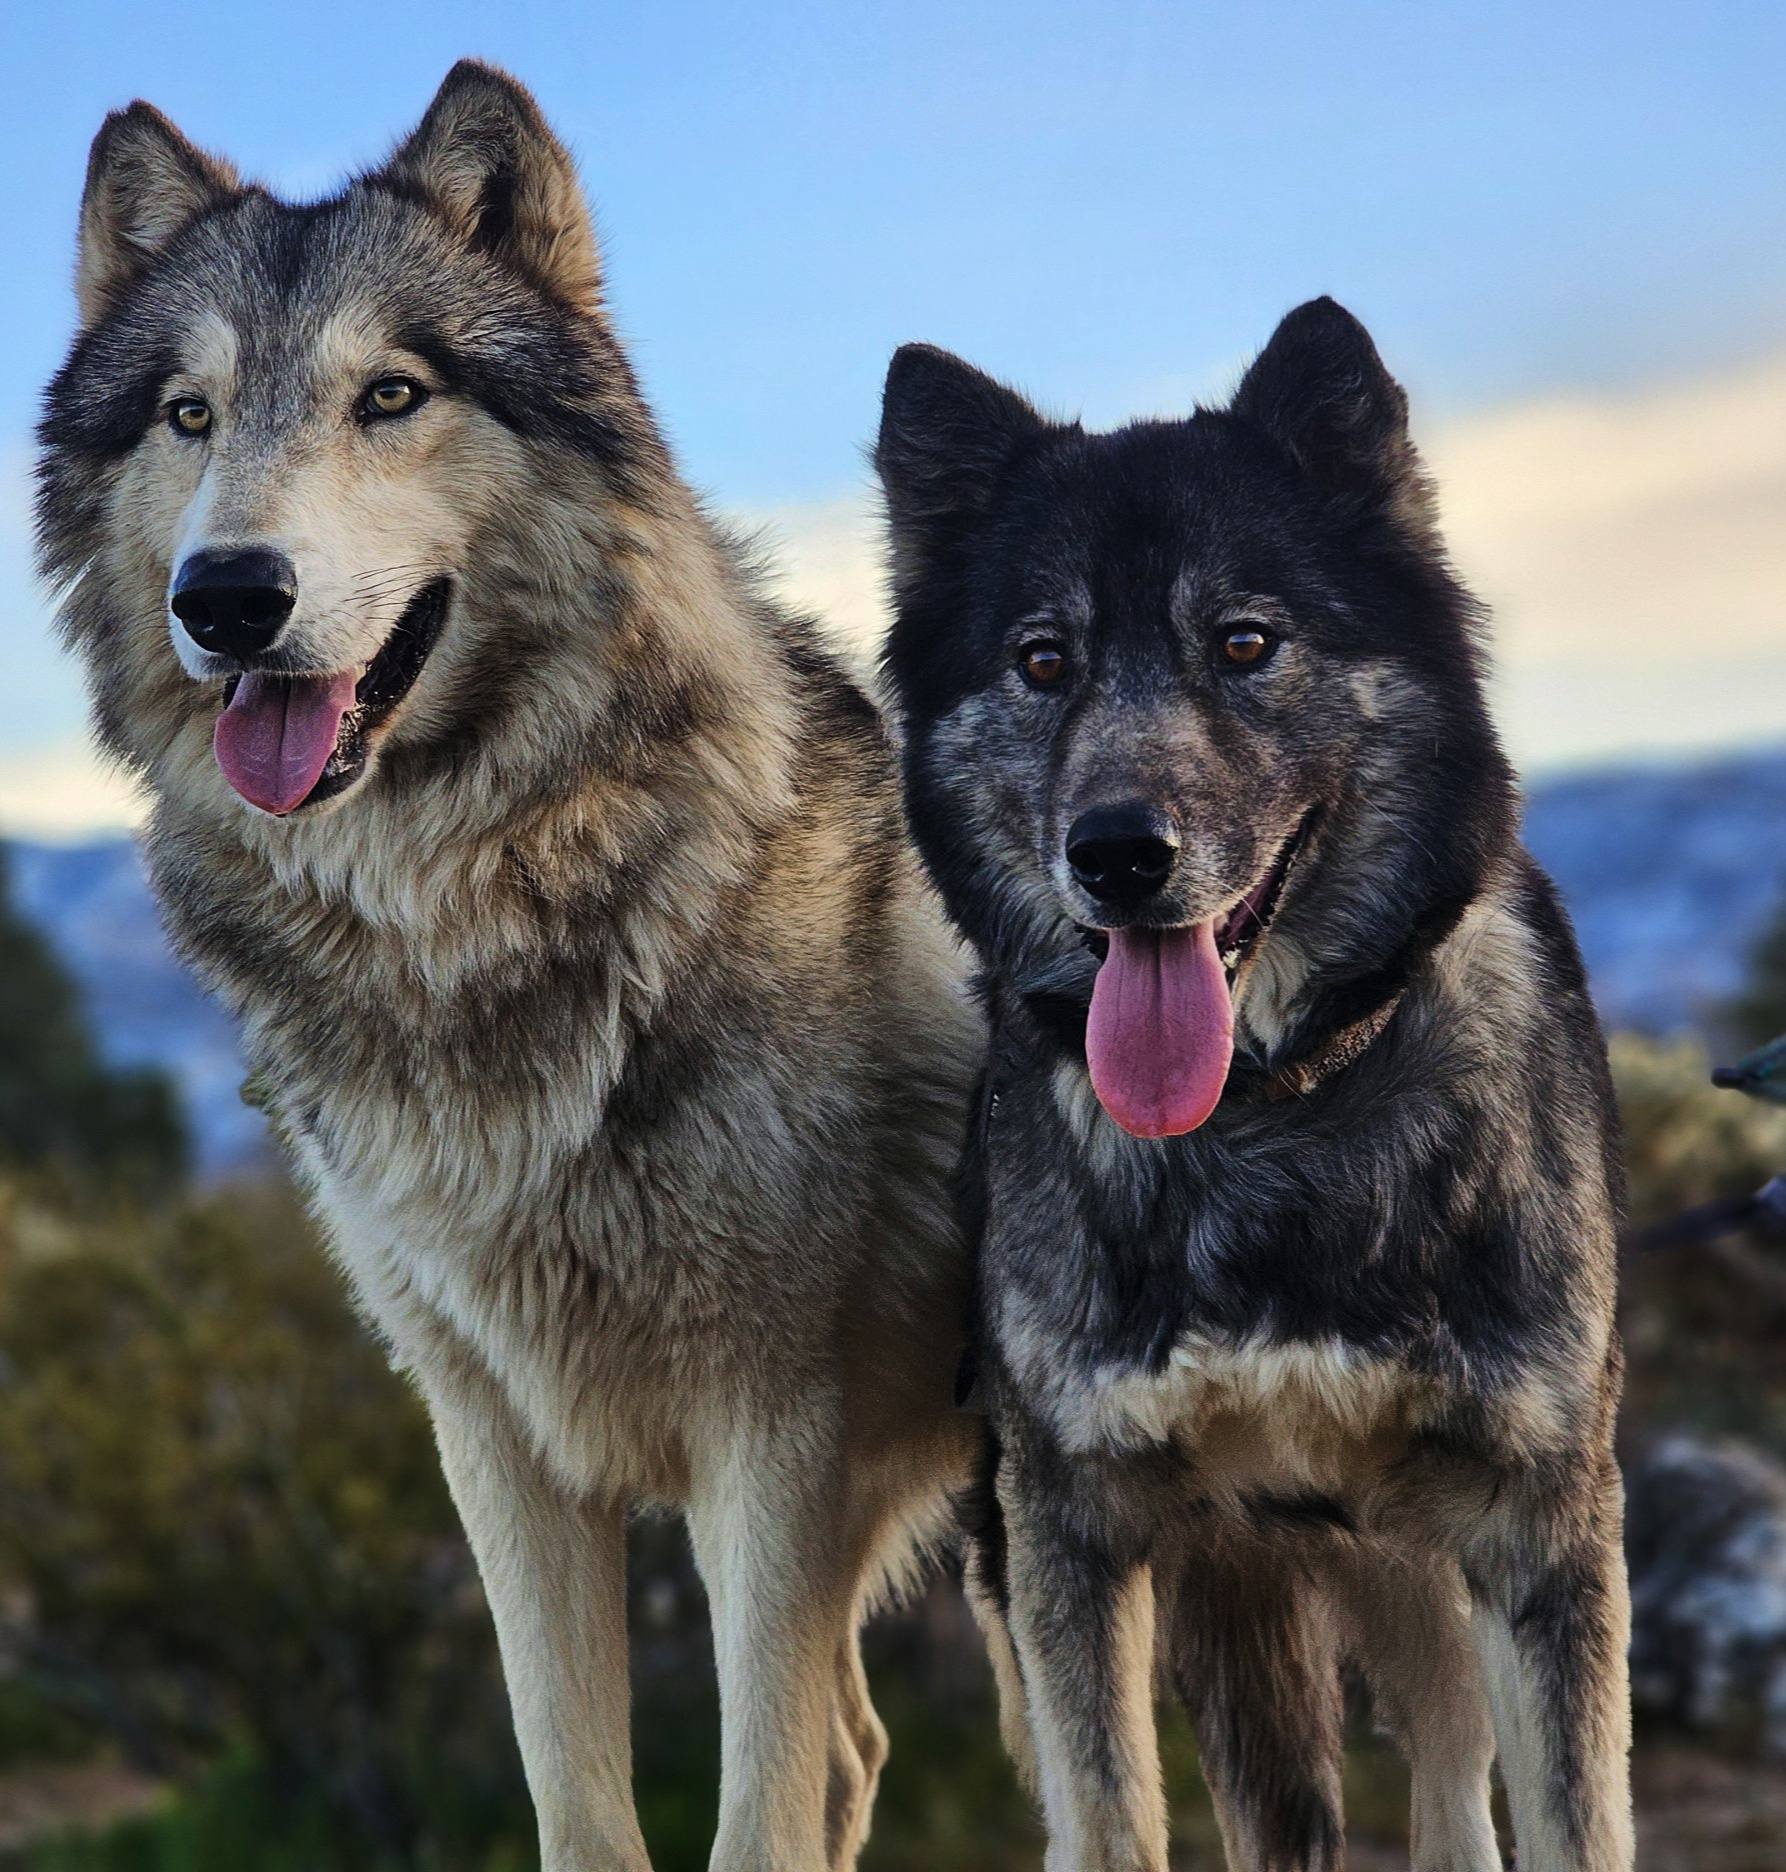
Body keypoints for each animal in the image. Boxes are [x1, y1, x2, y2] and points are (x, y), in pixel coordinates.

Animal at [39, 62, 982, 1872]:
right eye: (189, 416)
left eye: (391, 395)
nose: (227, 594)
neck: (464, 919)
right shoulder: (488, 1427)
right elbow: (579, 1798)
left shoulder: (770, 1421)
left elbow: (753, 1812)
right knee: (860, 1741)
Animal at [876, 301, 1634, 1871]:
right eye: (1043, 662)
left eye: (1242, 642)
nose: (1116, 854)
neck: (1265, 1119)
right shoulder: (1074, 1534)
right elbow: (1107, 1816)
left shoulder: (1537, 1534)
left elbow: (1572, 1824)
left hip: (1409, 1580)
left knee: (1452, 1791)